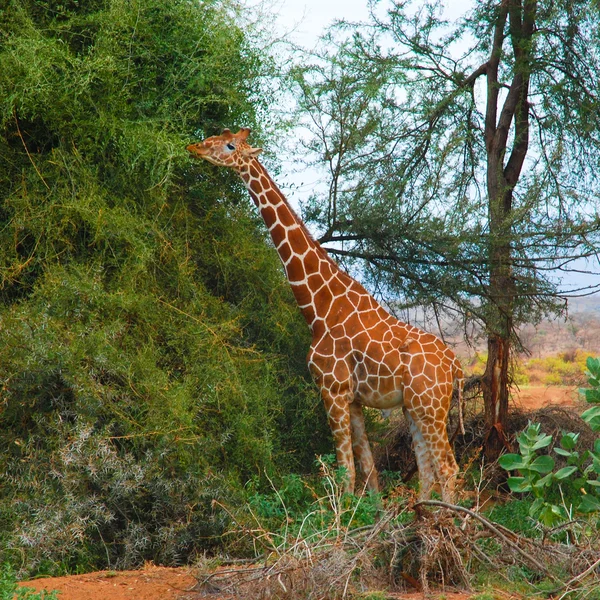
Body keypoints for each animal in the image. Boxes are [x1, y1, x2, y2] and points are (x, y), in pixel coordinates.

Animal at [188, 127, 464, 502]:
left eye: (230, 145)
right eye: (215, 136)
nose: (195, 147)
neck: (319, 309)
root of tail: (455, 365)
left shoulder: (331, 390)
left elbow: (345, 472)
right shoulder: (354, 400)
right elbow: (368, 471)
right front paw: (369, 516)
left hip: (430, 407)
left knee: (448, 468)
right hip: (414, 407)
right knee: (427, 469)